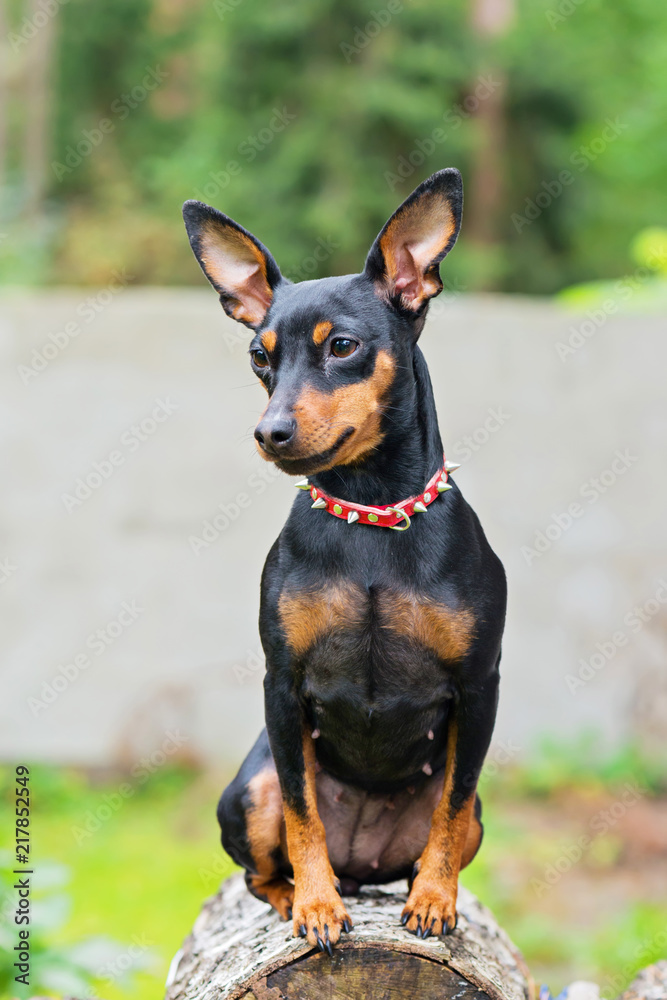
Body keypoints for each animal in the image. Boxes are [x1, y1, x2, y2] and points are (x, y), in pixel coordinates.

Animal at [183, 170, 506, 952]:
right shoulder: (282, 684)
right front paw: (318, 907)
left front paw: (434, 902)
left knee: (447, 822)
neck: (370, 517)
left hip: (475, 815)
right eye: (259, 357)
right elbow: (303, 814)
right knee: (262, 866)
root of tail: (363, 864)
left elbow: (450, 808)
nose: (269, 432)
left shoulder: (479, 687)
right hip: (252, 786)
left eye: (343, 347)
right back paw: (299, 896)